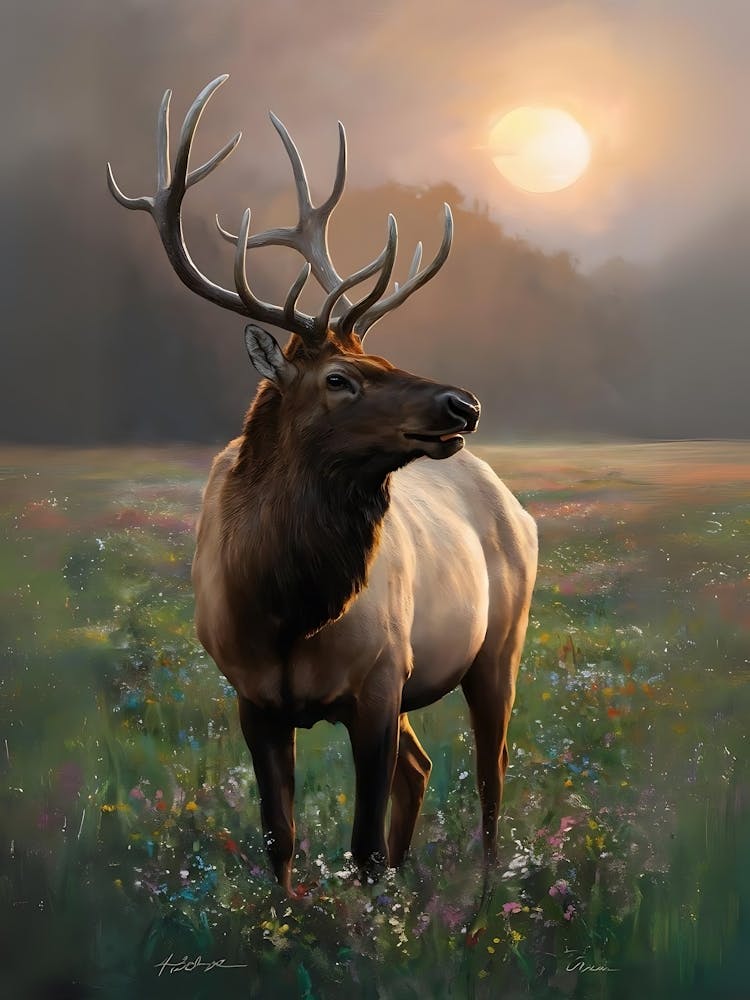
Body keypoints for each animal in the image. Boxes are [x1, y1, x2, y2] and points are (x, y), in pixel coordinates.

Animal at [107, 76, 538, 896]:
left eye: (386, 357)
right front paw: (293, 917)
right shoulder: (251, 696)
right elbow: (280, 838)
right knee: (423, 767)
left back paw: (486, 891)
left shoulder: (378, 680)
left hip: (500, 642)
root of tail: (515, 505)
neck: (287, 609)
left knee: (491, 773)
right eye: (340, 378)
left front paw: (371, 919)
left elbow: (360, 847)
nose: (463, 403)